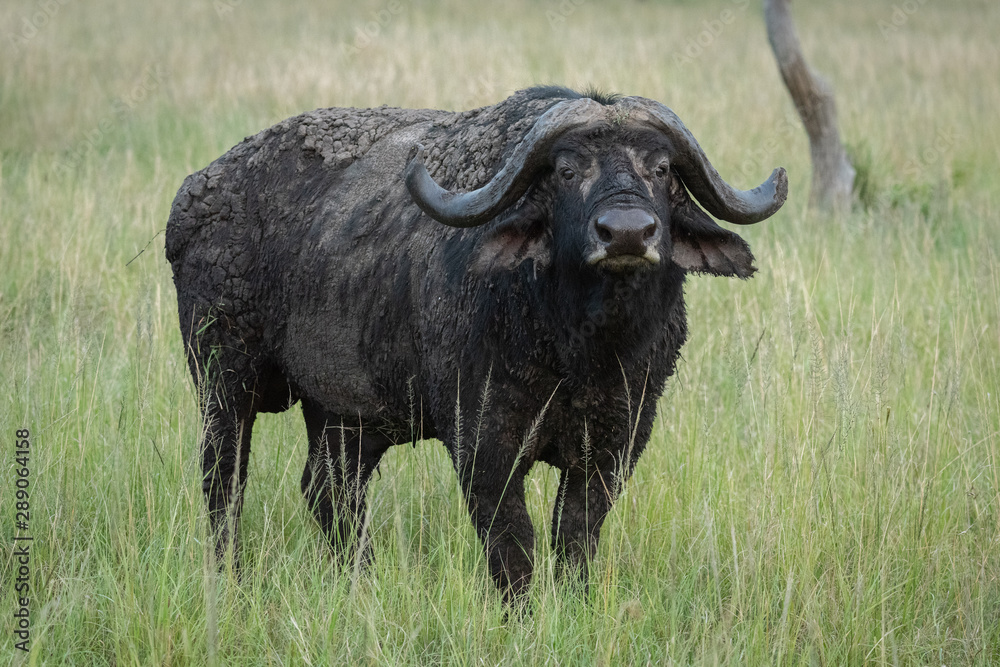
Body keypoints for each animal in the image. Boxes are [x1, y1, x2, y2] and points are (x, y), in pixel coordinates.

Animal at [168, 86, 784, 604]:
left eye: (661, 169)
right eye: (566, 170)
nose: (628, 233)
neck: (582, 351)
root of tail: (199, 188)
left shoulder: (617, 443)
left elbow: (575, 536)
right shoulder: (483, 444)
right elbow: (513, 544)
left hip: (342, 413)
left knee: (330, 492)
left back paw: (359, 580)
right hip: (223, 382)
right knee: (223, 483)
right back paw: (229, 579)